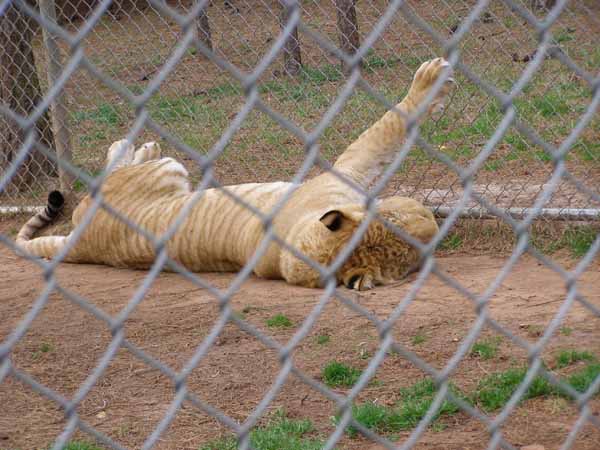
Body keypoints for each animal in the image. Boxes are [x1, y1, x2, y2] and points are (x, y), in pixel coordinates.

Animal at [15, 58, 454, 290]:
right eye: (393, 219)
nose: (430, 218)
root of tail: (83, 238)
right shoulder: (343, 172)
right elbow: (387, 128)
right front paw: (431, 79)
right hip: (168, 170)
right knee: (116, 165)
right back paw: (141, 146)